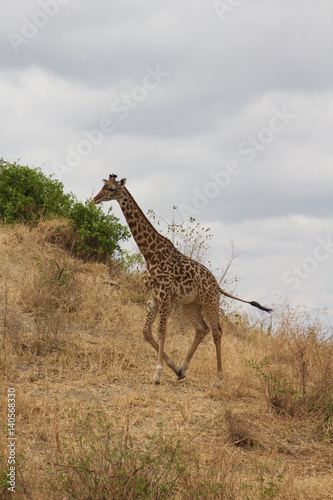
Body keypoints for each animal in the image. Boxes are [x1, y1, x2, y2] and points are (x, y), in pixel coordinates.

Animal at [92, 176, 272, 386]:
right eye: (102, 186)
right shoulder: (152, 296)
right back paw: (182, 369)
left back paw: (219, 378)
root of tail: (217, 285)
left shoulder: (164, 295)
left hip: (209, 301)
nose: (95, 199)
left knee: (217, 331)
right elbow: (146, 332)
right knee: (202, 329)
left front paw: (158, 373)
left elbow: (162, 331)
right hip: (190, 305)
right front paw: (172, 367)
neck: (150, 254)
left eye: (112, 189)